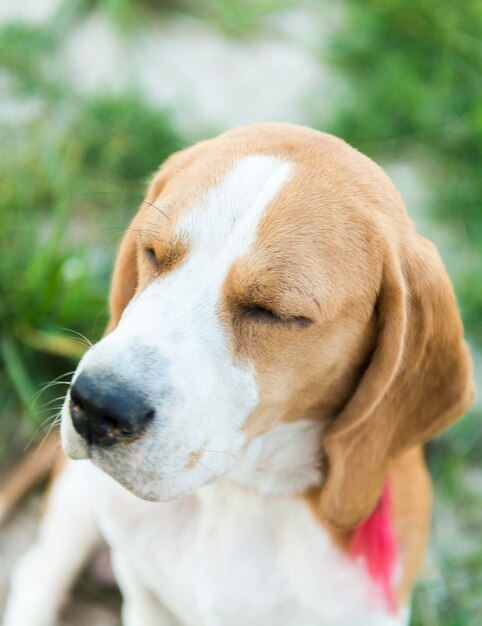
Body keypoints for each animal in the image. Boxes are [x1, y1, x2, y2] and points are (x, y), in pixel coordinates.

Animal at [1, 123, 472, 624]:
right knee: (37, 572)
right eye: (152, 253)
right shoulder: (145, 596)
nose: (95, 405)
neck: (240, 495)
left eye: (275, 312)